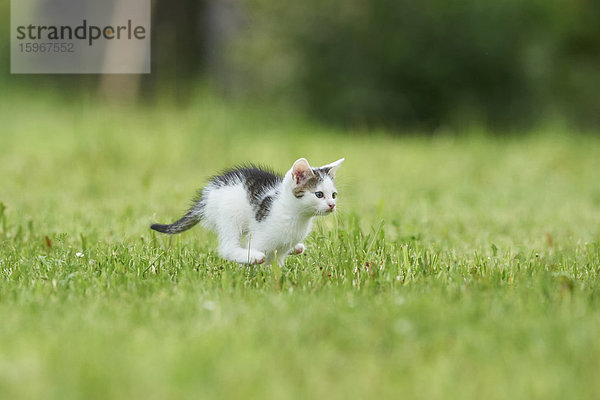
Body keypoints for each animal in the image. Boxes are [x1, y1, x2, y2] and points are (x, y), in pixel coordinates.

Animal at [152, 157, 344, 266]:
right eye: (319, 194)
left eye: (334, 195)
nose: (332, 205)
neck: (295, 216)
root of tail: (208, 193)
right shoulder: (260, 238)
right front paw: (253, 272)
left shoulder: (281, 249)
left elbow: (277, 264)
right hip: (230, 214)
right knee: (228, 248)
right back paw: (252, 257)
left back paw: (296, 248)